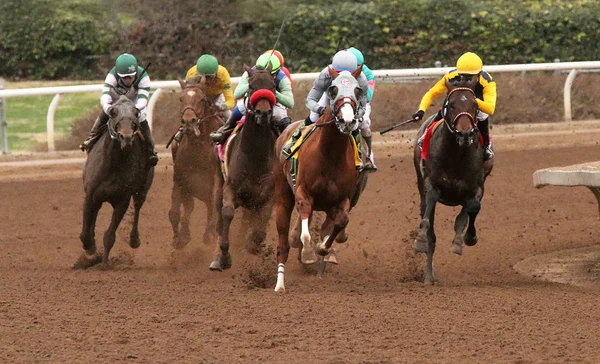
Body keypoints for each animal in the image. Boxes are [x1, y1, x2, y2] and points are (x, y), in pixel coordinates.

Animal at [169, 79, 225, 250]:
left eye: (201, 99)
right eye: (181, 98)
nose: (188, 121)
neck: (198, 148)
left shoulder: (215, 180)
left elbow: (214, 207)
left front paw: (209, 235)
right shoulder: (180, 179)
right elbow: (174, 212)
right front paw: (179, 238)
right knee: (189, 207)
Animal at [209, 64, 278, 272]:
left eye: (272, 86)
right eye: (251, 86)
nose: (263, 113)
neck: (255, 155)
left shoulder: (268, 194)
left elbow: (259, 232)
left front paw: (253, 247)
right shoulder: (230, 187)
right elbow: (227, 214)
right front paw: (224, 257)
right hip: (218, 185)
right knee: (219, 219)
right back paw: (216, 259)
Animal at [274, 67, 368, 292]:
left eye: (358, 90)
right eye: (333, 90)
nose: (347, 121)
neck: (330, 154)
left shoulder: (342, 199)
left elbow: (341, 221)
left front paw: (323, 248)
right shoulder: (304, 192)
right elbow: (305, 229)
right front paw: (308, 252)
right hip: (283, 197)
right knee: (283, 243)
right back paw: (280, 284)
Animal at [414, 79, 494, 284]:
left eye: (474, 105)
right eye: (451, 105)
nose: (464, 134)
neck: (455, 154)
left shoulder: (476, 188)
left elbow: (469, 211)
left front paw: (463, 240)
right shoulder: (431, 184)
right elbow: (428, 216)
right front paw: (420, 239)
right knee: (430, 226)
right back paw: (428, 276)